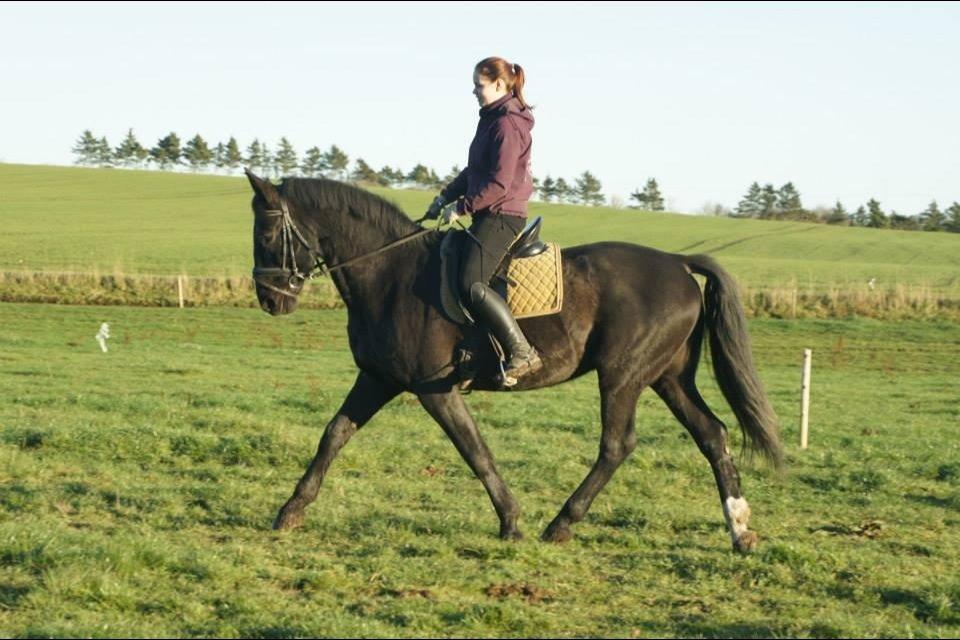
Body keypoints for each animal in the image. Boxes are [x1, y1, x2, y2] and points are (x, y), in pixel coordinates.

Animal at [244, 170, 783, 553]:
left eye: (267, 235)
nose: (270, 300)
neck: (390, 273)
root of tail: (677, 263)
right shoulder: (378, 378)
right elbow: (334, 434)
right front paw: (291, 511)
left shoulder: (434, 389)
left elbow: (475, 451)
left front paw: (511, 521)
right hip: (668, 377)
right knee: (712, 434)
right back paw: (740, 530)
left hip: (624, 375)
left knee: (617, 445)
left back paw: (561, 523)